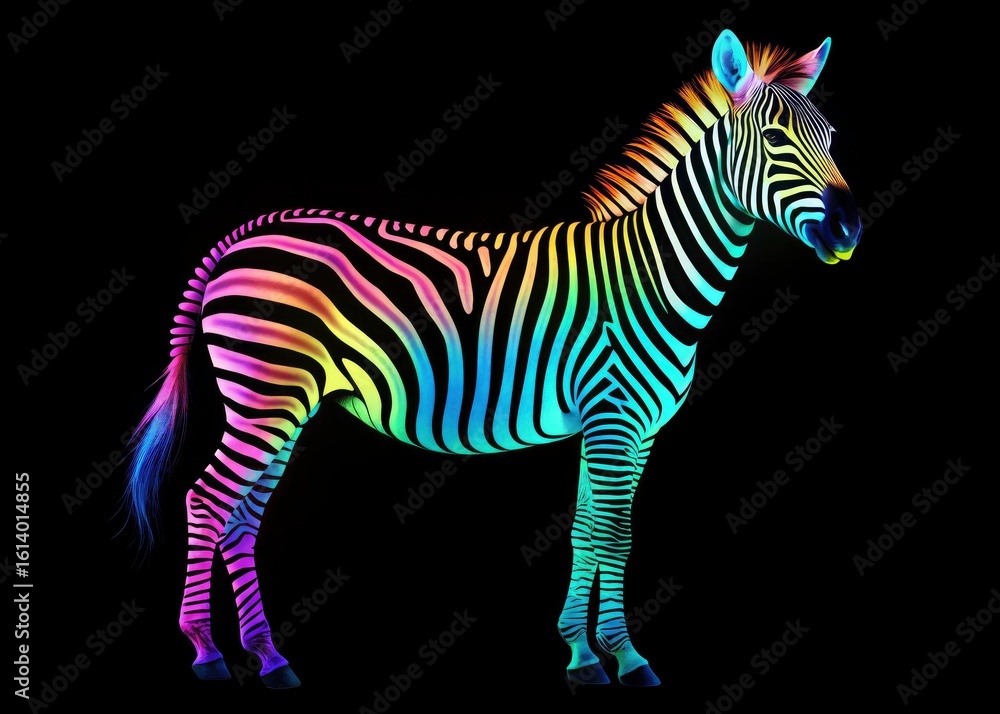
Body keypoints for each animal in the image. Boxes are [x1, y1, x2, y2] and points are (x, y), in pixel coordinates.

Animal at [125, 29, 861, 689]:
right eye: (775, 140)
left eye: (831, 139)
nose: (850, 228)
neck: (651, 273)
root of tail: (244, 233)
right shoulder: (613, 420)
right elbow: (612, 534)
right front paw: (626, 658)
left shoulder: (633, 430)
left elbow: (589, 530)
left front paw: (586, 654)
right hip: (264, 396)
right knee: (205, 500)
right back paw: (207, 653)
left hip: (282, 401)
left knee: (242, 517)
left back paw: (270, 658)